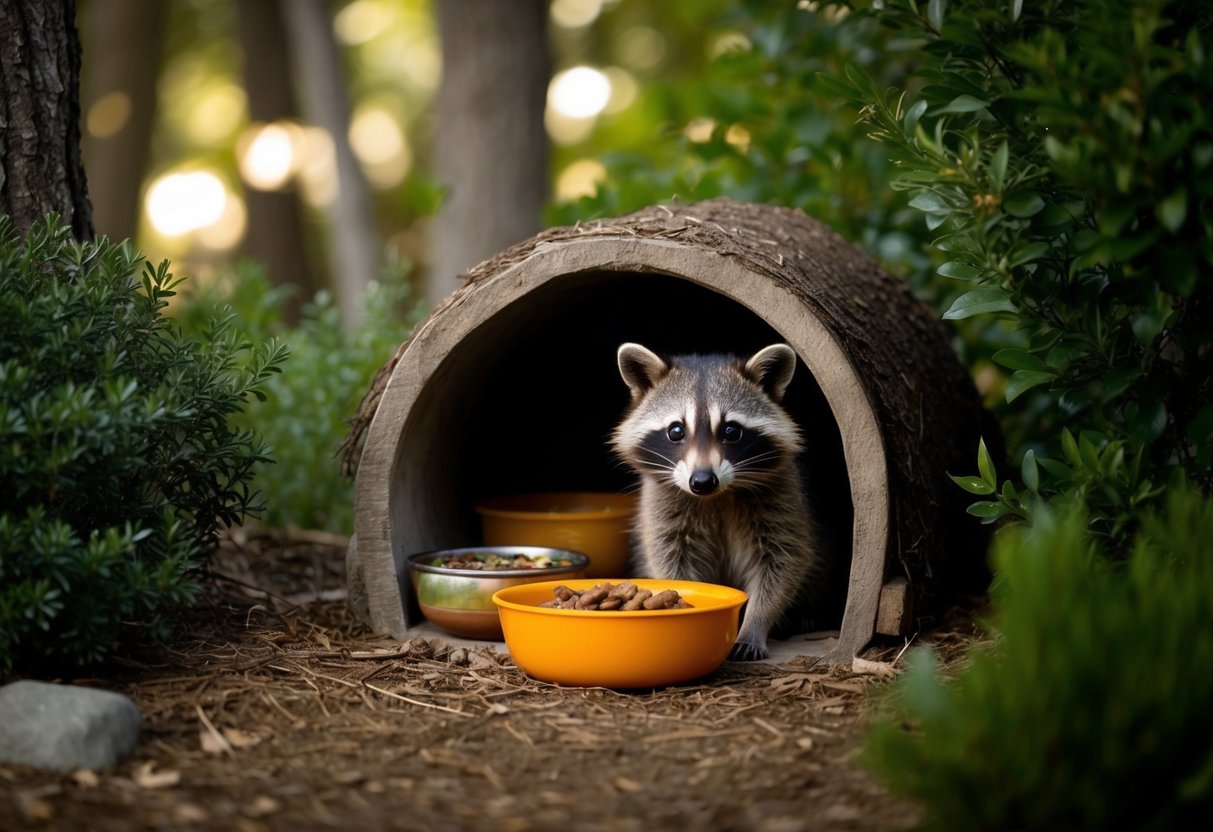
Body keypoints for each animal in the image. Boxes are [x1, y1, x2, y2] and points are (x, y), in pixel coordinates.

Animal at [611, 342, 822, 661]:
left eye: (731, 431)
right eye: (676, 431)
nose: (702, 481)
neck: (717, 496)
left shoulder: (783, 496)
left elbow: (782, 562)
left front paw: (755, 623)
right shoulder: (661, 504)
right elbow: (670, 558)